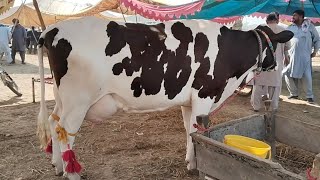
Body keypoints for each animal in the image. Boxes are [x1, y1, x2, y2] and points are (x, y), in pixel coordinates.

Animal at [37, 16, 292, 179]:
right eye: (278, 45)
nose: (278, 64)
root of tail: (51, 30)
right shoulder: (204, 95)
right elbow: (199, 129)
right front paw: (195, 166)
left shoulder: (189, 101)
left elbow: (190, 131)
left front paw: (191, 162)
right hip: (78, 101)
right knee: (64, 131)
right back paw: (72, 173)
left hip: (62, 98)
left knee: (53, 122)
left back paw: (57, 166)